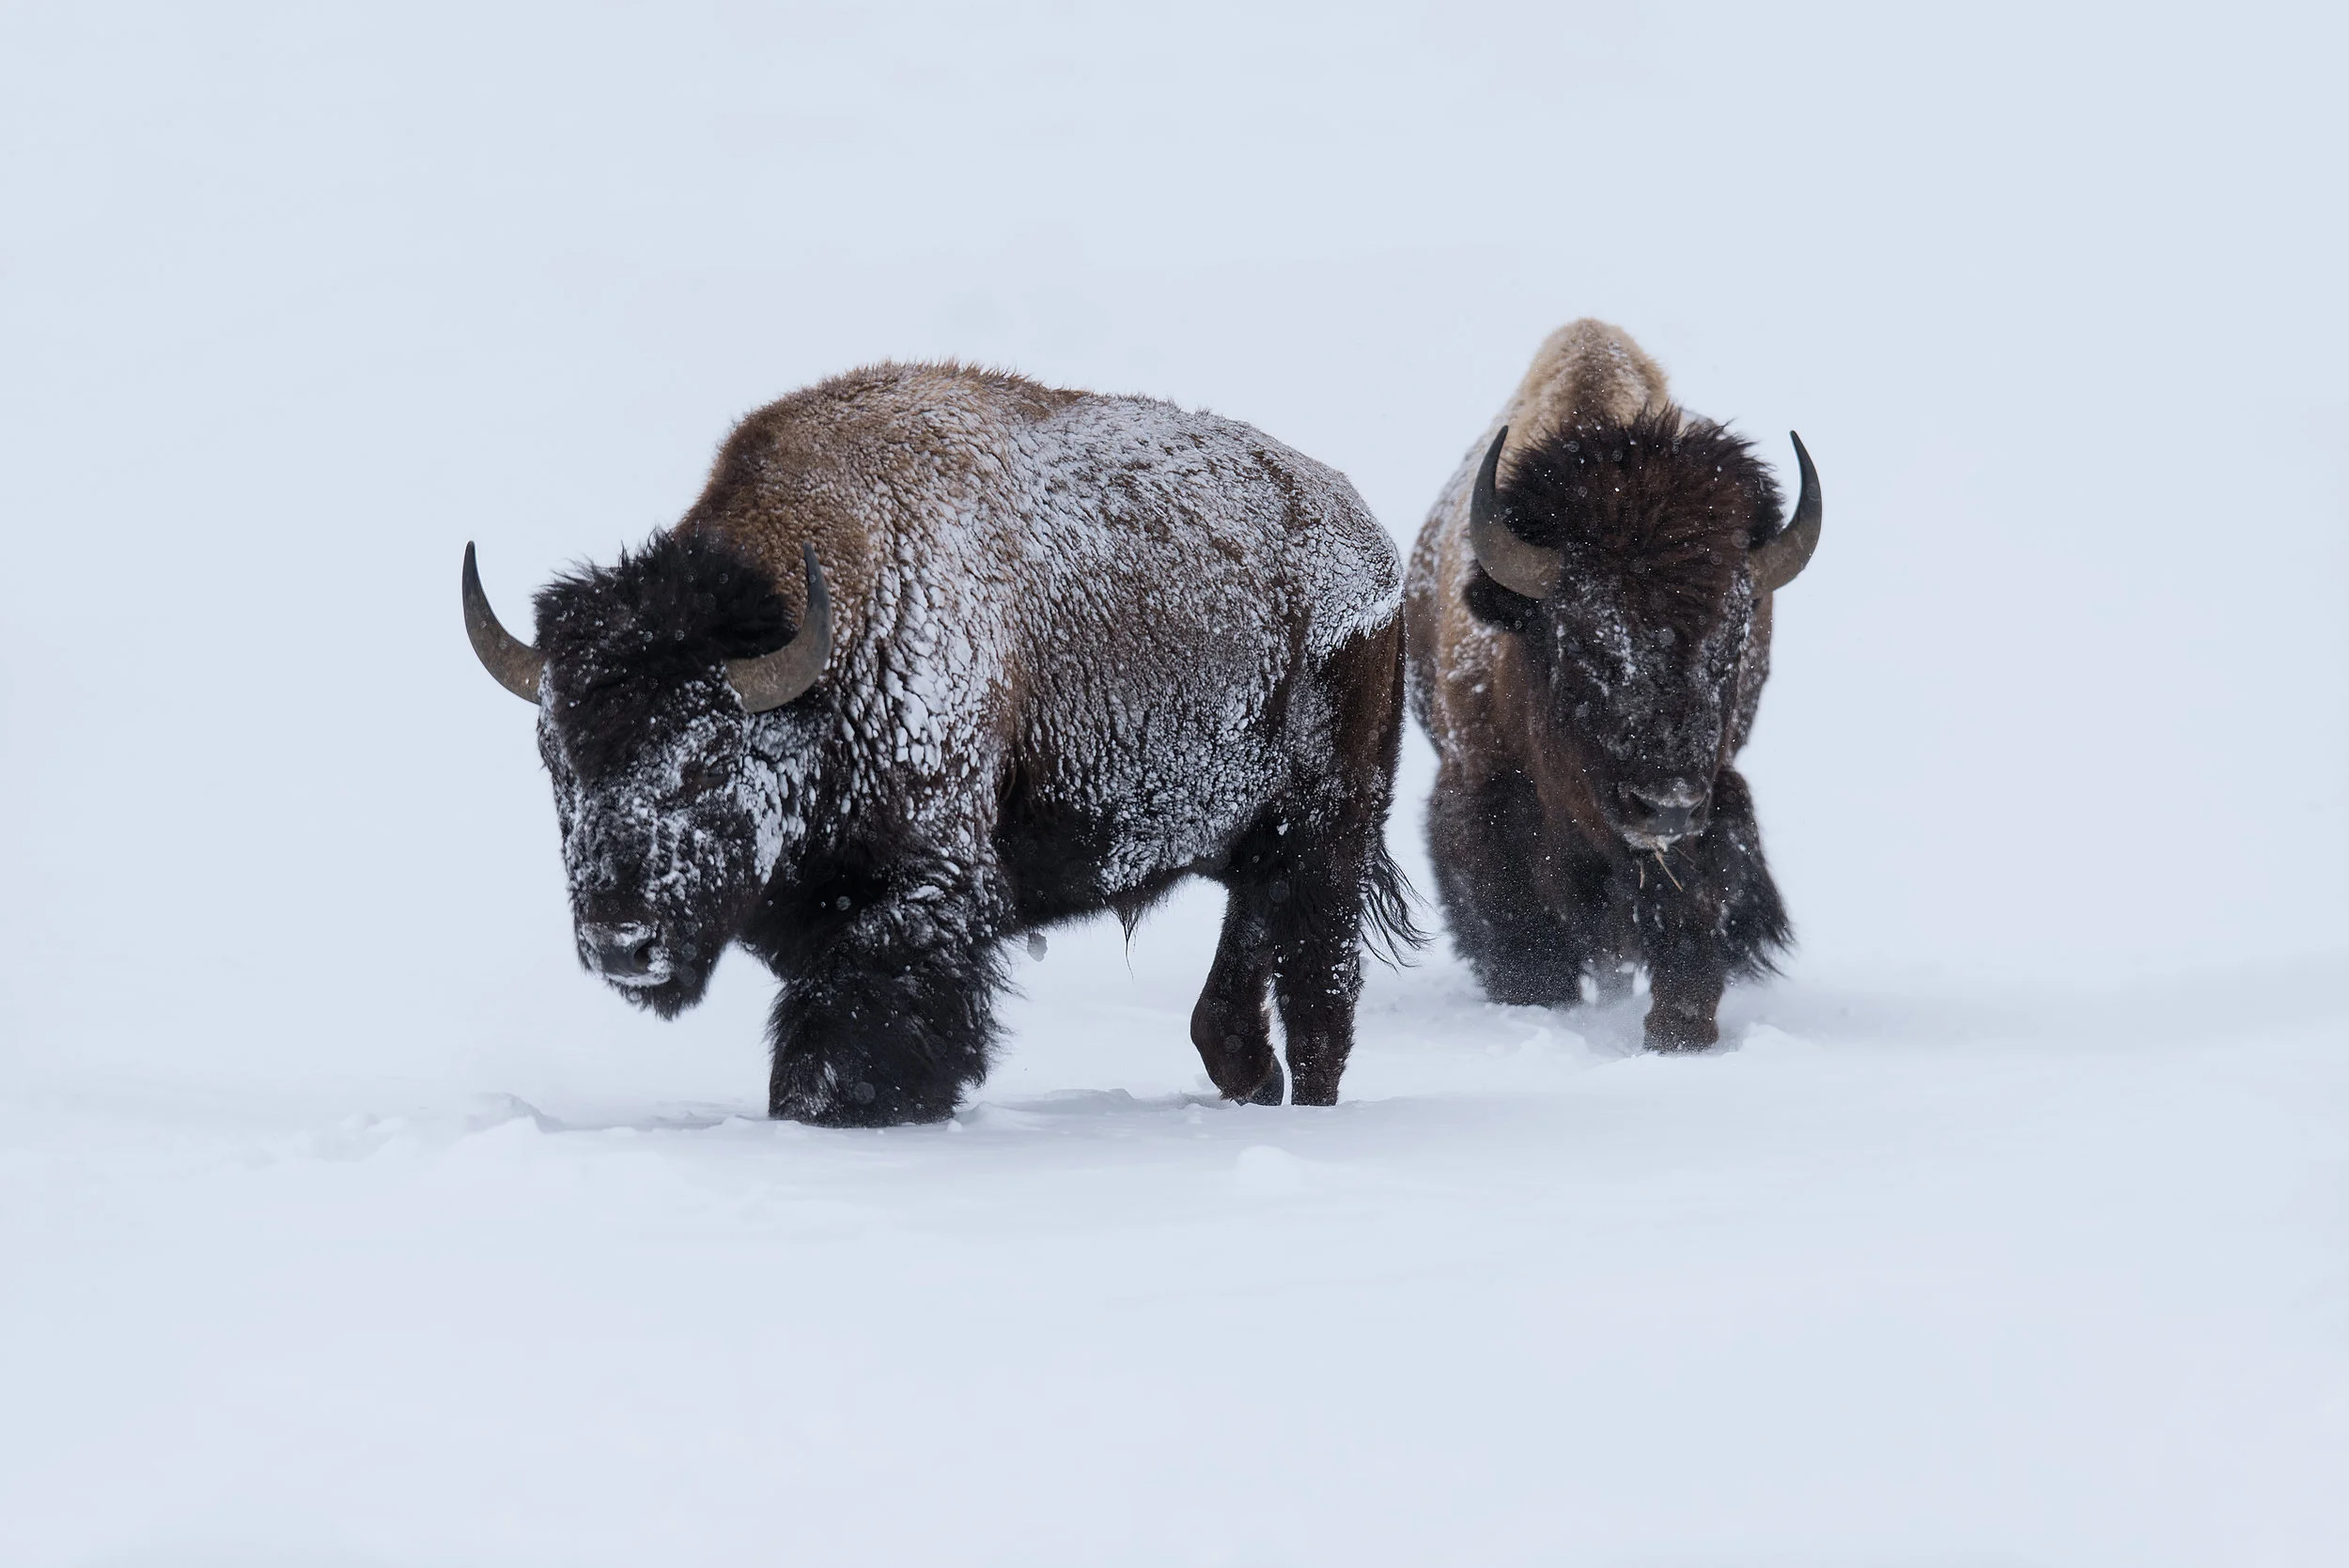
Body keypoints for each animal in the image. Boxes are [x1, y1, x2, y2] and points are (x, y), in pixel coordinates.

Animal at [464, 361, 1415, 1124]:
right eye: (558, 762)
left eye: (707, 758)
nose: (621, 942)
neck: (830, 650)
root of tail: (1372, 547)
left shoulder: (916, 893)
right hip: (1252, 845)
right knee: (1233, 996)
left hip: (1327, 832)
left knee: (1319, 998)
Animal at [1403, 320, 1821, 1048]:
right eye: (1587, 641)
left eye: (1733, 645)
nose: (1666, 806)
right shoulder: (1481, 796)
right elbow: (1524, 941)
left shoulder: (1712, 804)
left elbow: (1692, 906)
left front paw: (1679, 1032)